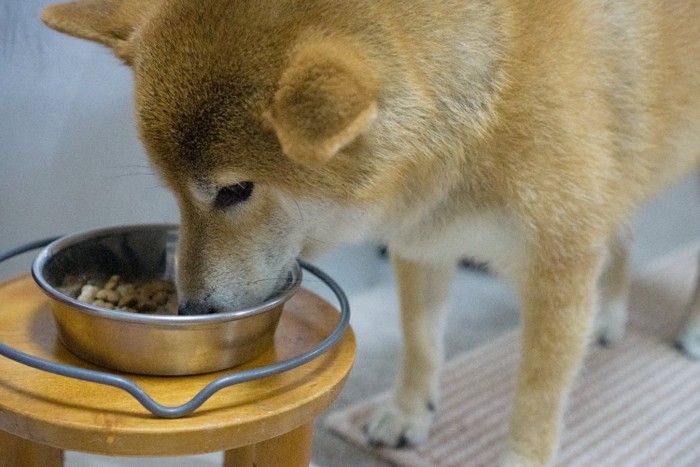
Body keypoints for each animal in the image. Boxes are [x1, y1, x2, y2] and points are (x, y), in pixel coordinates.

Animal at [42, 1, 700, 466]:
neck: (485, 90)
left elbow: (539, 396)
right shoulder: (423, 240)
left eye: (234, 190)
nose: (192, 309)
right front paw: (409, 412)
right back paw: (610, 316)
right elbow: (421, 341)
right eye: (174, 192)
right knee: (623, 239)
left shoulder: (559, 267)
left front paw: (523, 453)